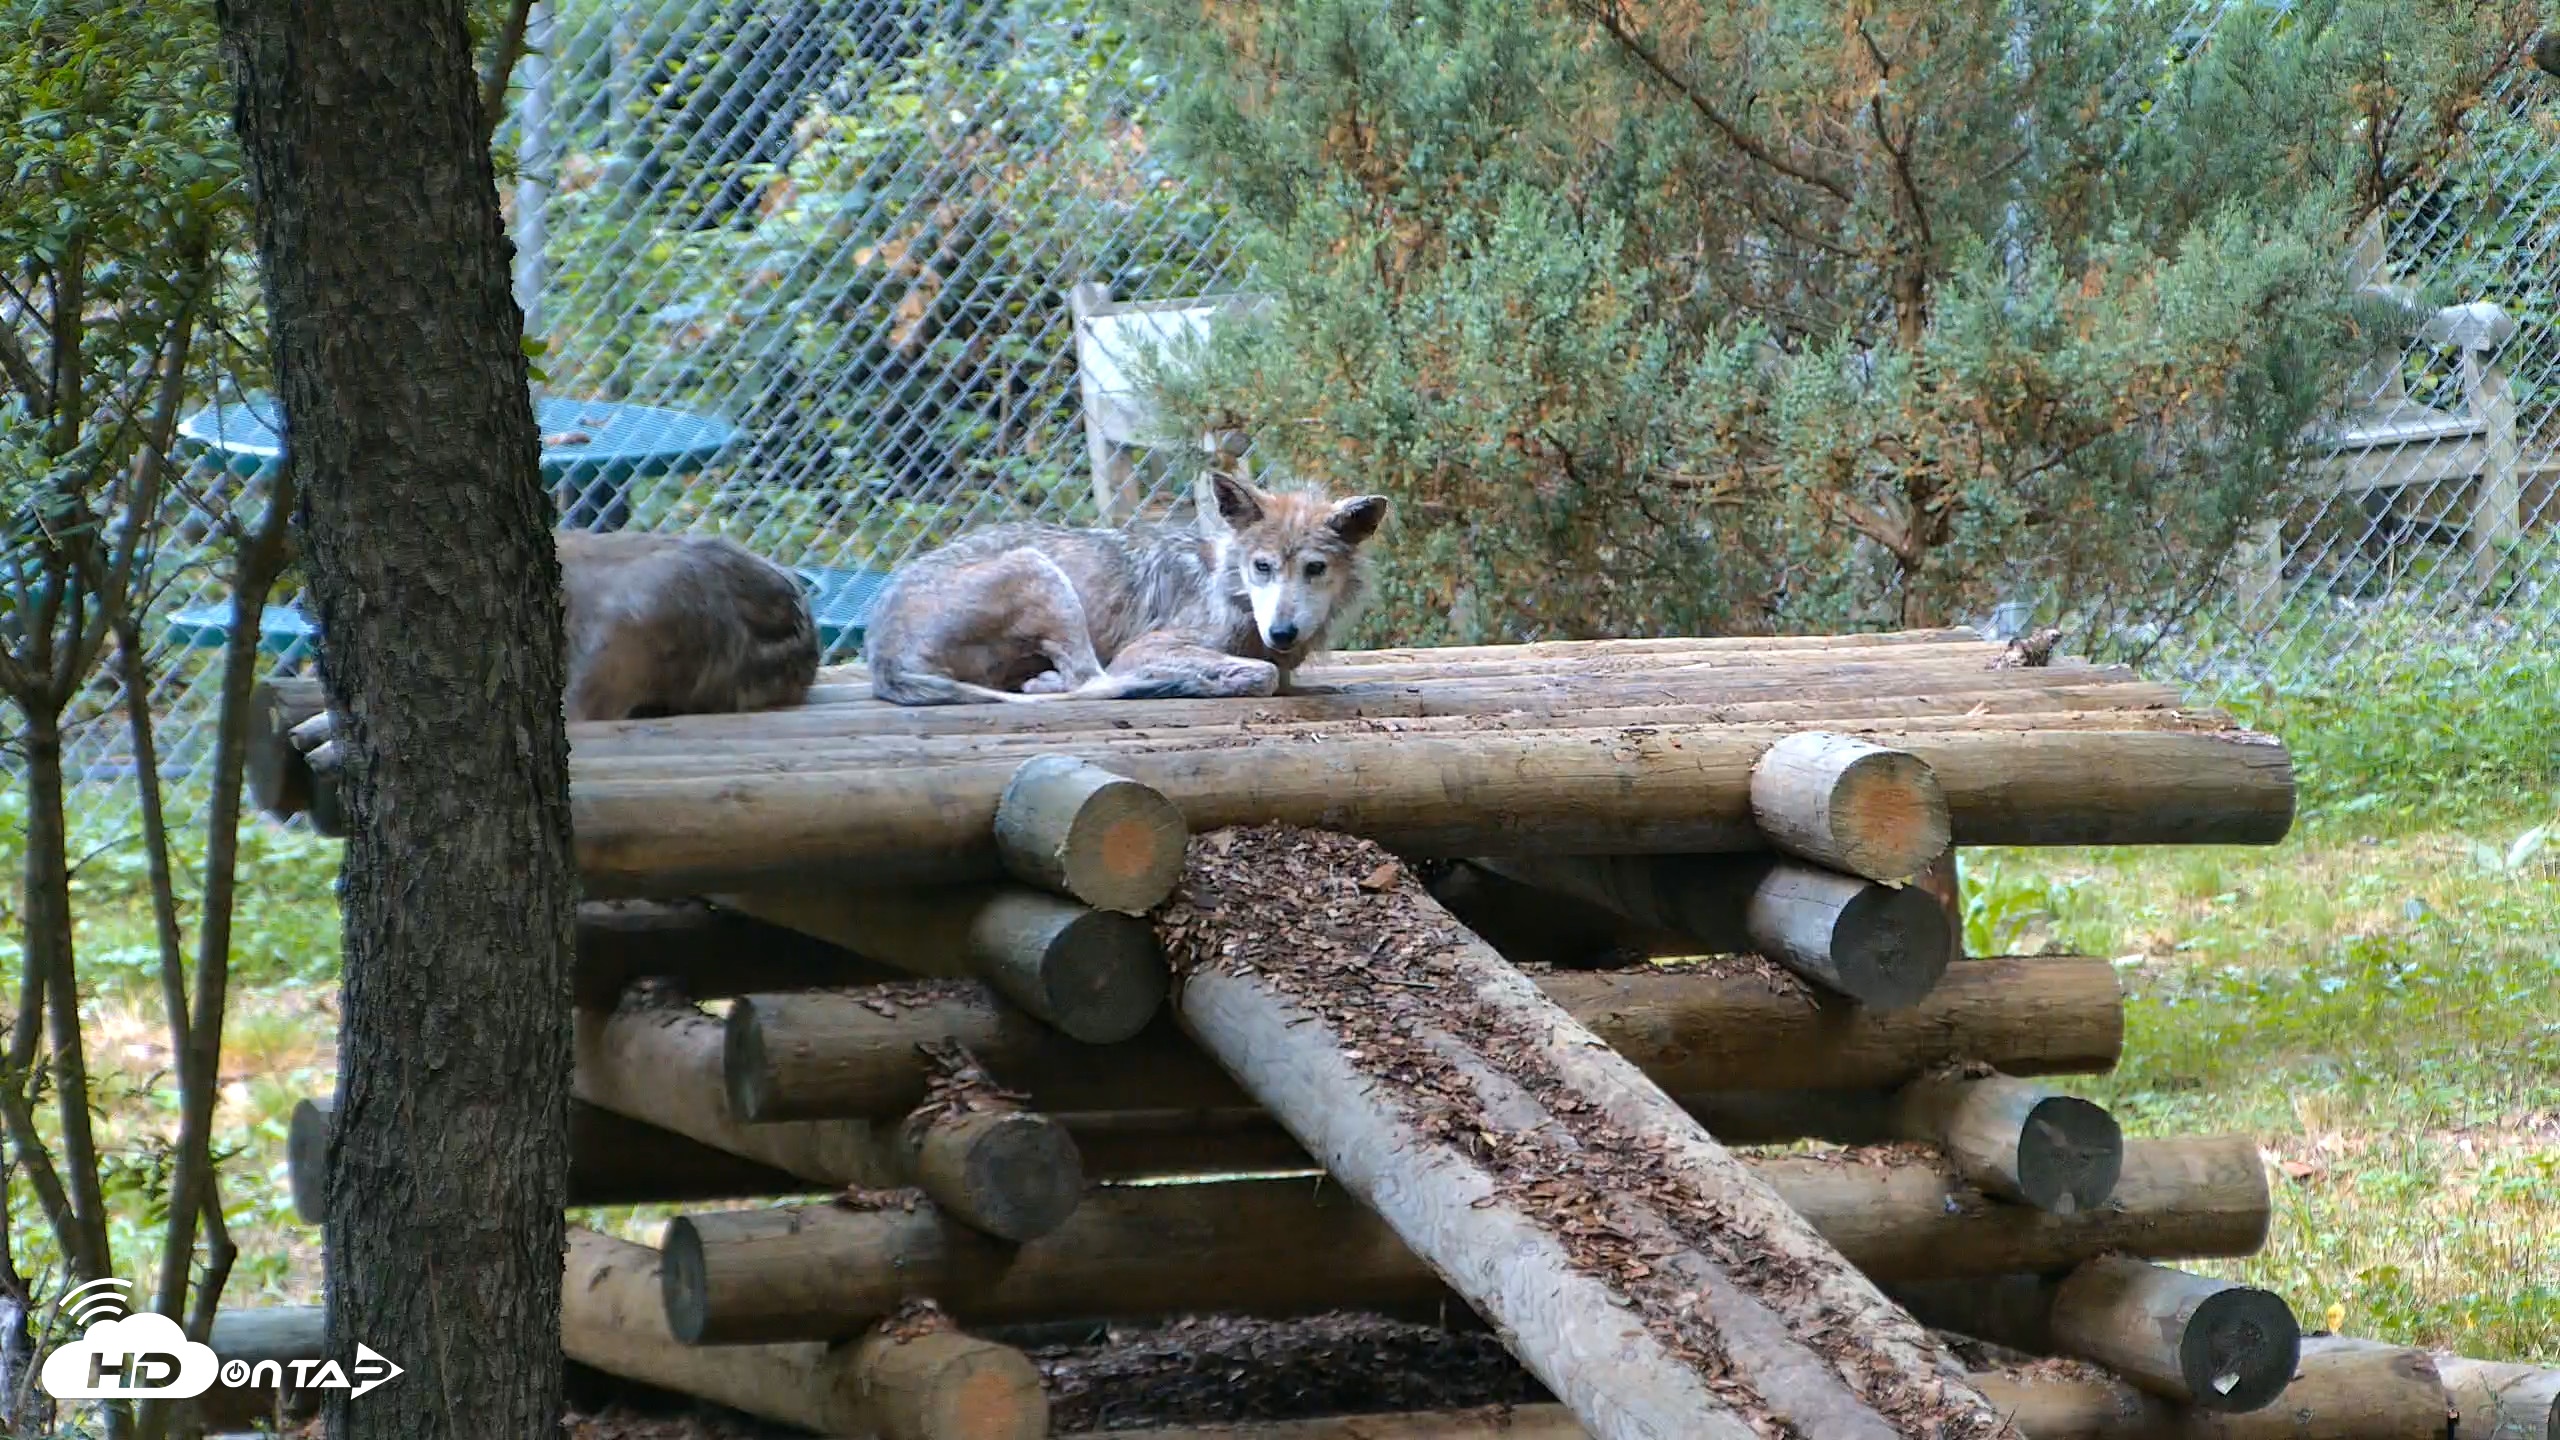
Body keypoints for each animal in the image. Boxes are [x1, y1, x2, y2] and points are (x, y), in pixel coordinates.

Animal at [863, 469, 1389, 706]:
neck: (1229, 591)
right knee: (1090, 679)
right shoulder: (1147, 648)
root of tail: (882, 656)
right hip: (1042, 572)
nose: (1281, 633)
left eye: (1315, 569)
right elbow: (1263, 676)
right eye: (1262, 567)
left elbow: (1278, 675)